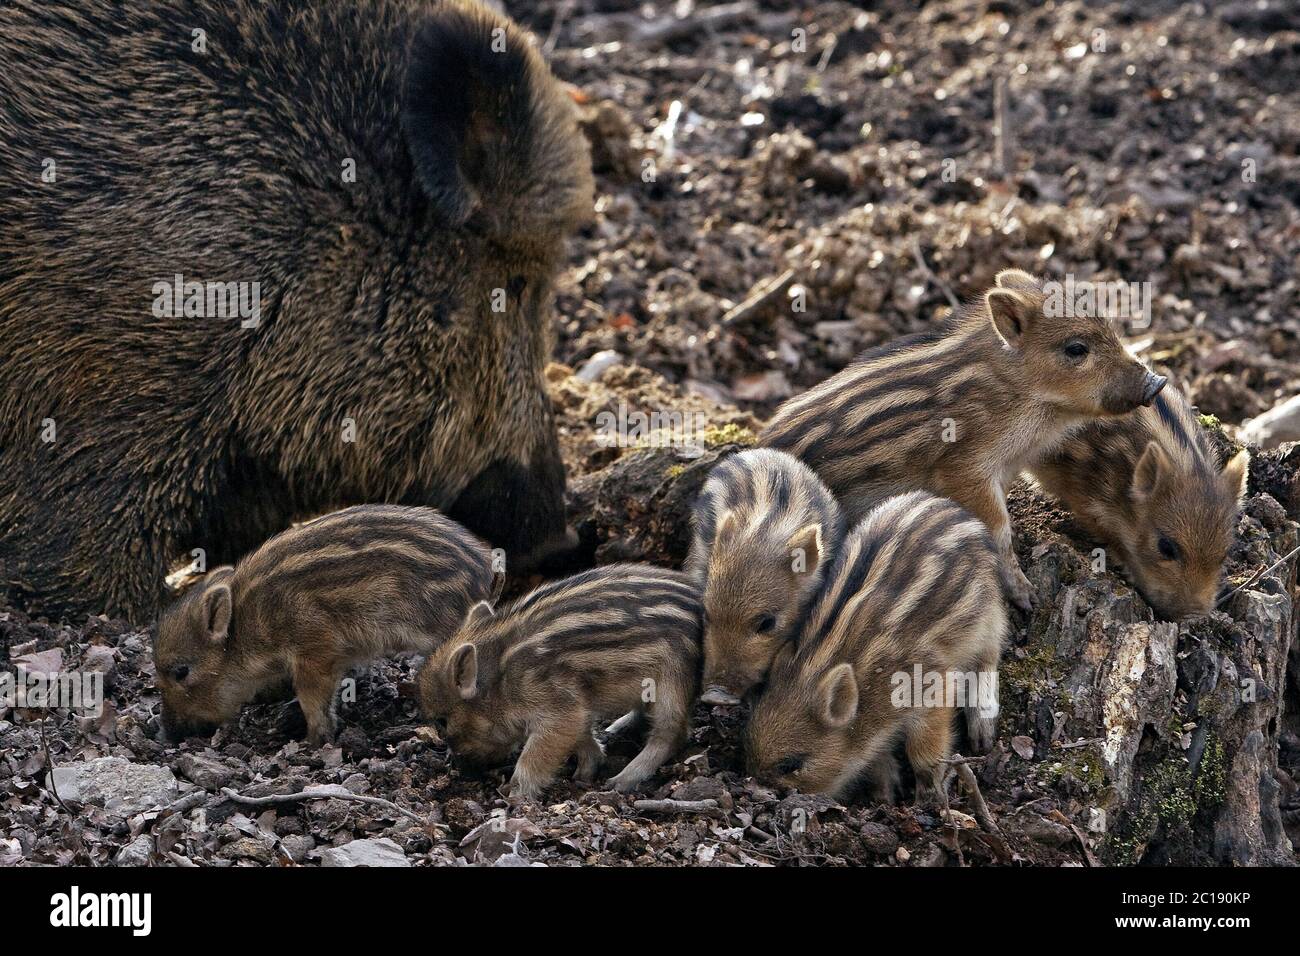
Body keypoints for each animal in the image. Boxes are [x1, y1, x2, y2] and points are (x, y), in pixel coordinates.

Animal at [153, 504, 494, 743]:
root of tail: (487, 573)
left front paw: (314, 742)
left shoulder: (314, 647)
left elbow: (312, 696)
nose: (166, 734)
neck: (248, 625)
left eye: (181, 671)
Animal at [418, 564, 702, 801]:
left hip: (672, 682)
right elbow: (582, 736)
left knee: (672, 733)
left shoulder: (559, 707)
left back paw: (619, 781)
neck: (501, 680)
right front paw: (584, 774)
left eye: (442, 721)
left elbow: (535, 755)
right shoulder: (577, 707)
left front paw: (515, 796)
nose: (462, 771)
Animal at [745, 491, 1007, 803]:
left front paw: (929, 795)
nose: (759, 792)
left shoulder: (931, 683)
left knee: (988, 658)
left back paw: (982, 732)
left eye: (791, 764)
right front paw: (885, 793)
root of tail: (952, 508)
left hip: (988, 616)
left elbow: (925, 748)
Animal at [760, 269, 1166, 611]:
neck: (1024, 395)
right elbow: (998, 529)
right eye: (1076, 349)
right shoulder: (965, 468)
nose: (1157, 382)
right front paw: (1028, 599)